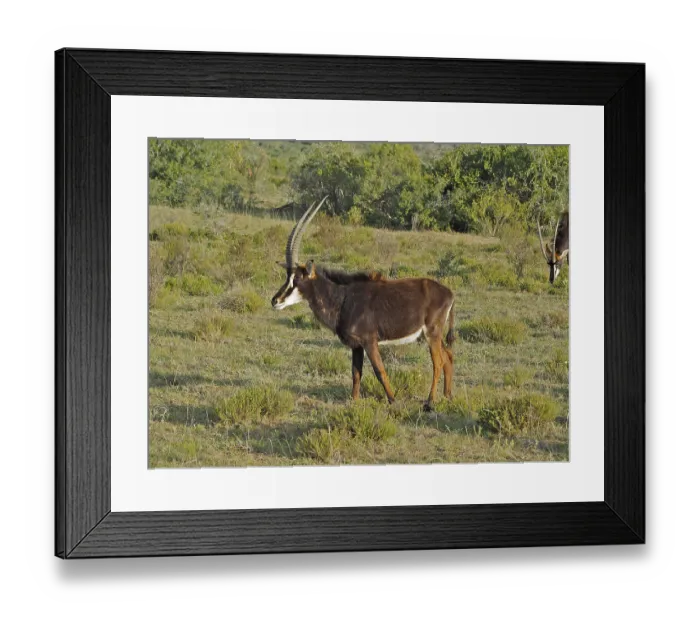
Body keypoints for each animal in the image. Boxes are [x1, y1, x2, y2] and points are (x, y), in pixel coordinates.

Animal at [271, 197, 456, 410]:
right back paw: (447, 396)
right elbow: (356, 373)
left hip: (431, 333)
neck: (343, 298)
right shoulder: (356, 346)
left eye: (297, 279)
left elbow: (379, 371)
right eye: (287, 277)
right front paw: (354, 402)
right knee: (448, 357)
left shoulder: (369, 341)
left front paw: (393, 401)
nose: (275, 301)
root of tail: (449, 293)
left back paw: (430, 401)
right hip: (435, 335)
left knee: (438, 362)